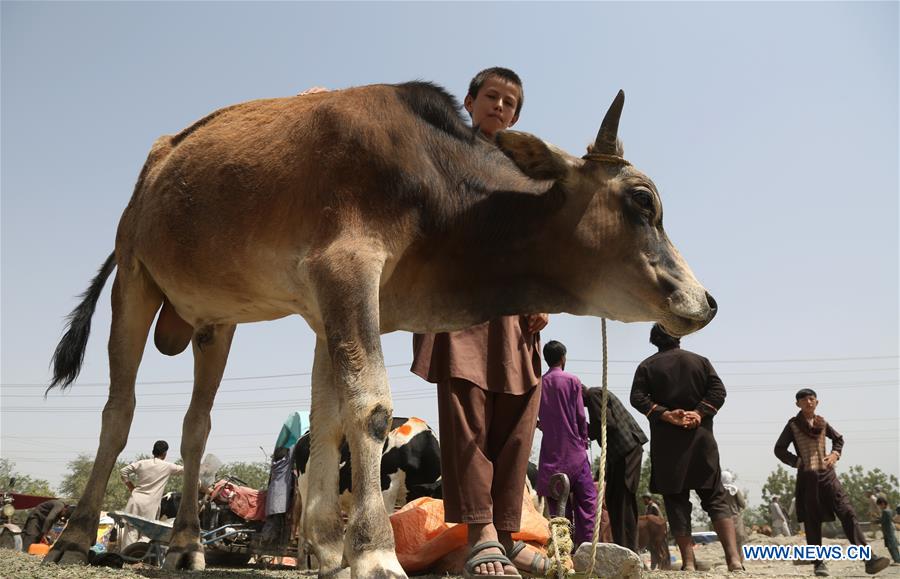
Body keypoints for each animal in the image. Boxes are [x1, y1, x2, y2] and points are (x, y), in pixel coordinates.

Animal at [47, 80, 716, 576]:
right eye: (642, 200)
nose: (705, 301)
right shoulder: (346, 269)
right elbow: (368, 408)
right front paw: (372, 552)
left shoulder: (327, 308)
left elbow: (330, 421)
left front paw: (330, 551)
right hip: (134, 281)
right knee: (118, 411)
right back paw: (75, 538)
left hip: (217, 322)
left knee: (195, 427)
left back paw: (187, 545)